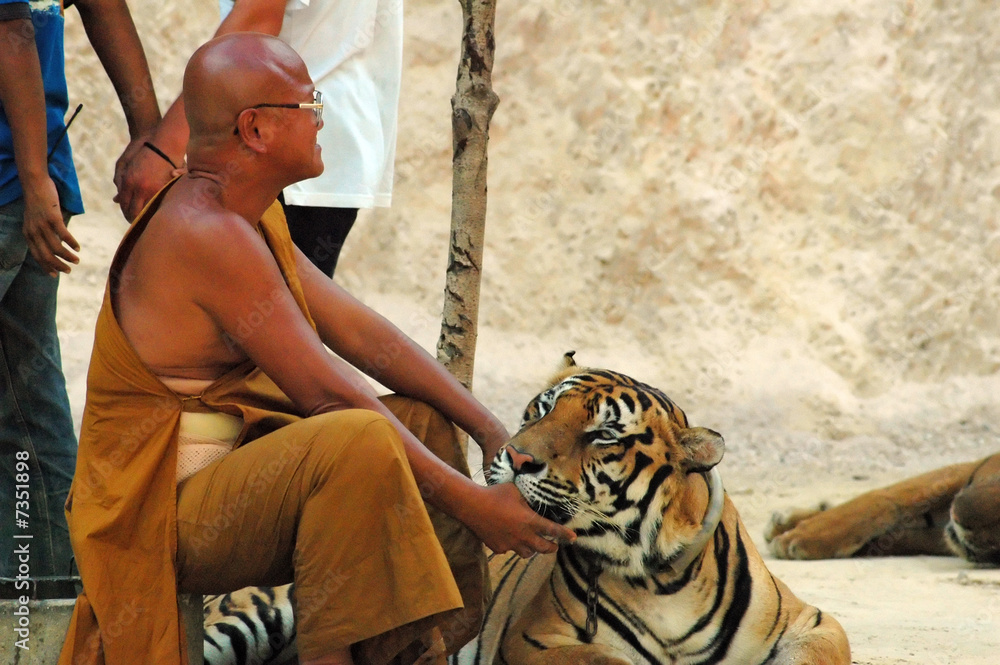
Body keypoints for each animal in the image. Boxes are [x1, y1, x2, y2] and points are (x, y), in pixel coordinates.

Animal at [454, 353, 851, 665]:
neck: (663, 581)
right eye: (544, 408)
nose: (517, 457)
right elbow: (606, 659)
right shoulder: (533, 640)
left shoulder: (813, 623)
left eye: (604, 435)